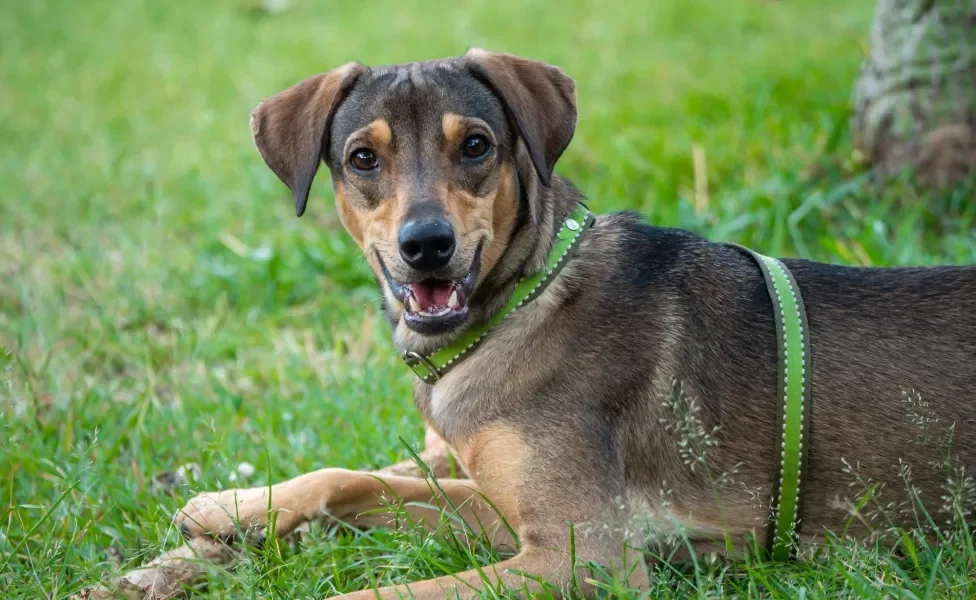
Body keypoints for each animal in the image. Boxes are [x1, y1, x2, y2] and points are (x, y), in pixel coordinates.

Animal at [175, 49, 976, 596]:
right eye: (362, 157)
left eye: (476, 145)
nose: (426, 244)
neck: (521, 304)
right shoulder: (502, 508)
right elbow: (355, 478)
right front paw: (230, 506)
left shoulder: (584, 556)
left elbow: (382, 592)